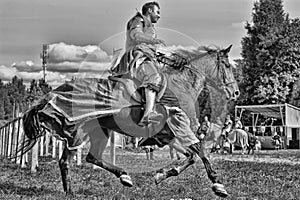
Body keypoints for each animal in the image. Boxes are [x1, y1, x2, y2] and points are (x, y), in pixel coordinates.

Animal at [18, 45, 239, 197]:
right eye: (227, 65)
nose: (236, 92)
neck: (183, 86)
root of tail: (55, 93)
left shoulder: (169, 135)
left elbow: (191, 156)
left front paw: (162, 175)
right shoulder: (178, 128)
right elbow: (200, 152)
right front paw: (218, 185)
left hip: (98, 132)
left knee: (88, 158)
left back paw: (120, 178)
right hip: (79, 132)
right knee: (70, 160)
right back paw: (76, 190)